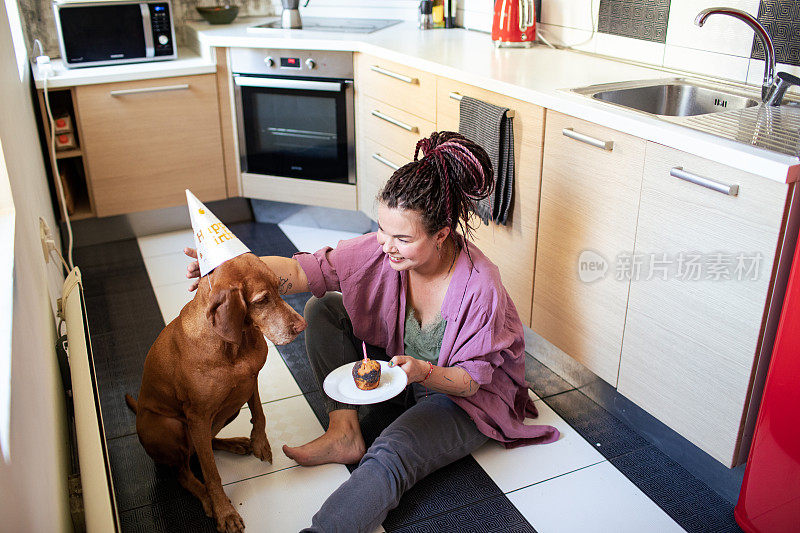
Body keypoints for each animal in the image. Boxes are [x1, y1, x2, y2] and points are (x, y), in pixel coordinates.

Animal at [125, 189, 306, 528]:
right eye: (262, 300)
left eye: (280, 287)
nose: (301, 326)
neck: (233, 345)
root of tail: (139, 410)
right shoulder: (196, 416)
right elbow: (211, 475)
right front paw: (224, 510)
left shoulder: (250, 381)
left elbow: (260, 413)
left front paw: (259, 442)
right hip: (170, 427)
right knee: (185, 470)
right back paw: (207, 498)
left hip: (228, 411)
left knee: (203, 448)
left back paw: (235, 443)